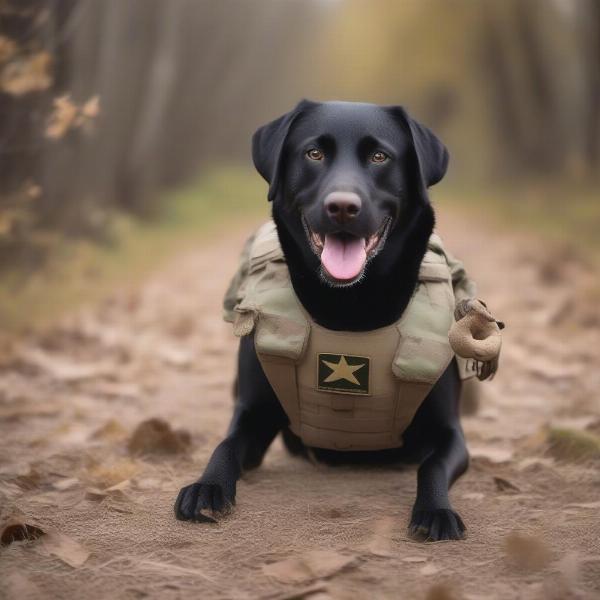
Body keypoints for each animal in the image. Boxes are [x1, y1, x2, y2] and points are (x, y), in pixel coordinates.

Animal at [176, 101, 472, 540]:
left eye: (379, 156)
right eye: (313, 153)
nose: (342, 207)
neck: (349, 307)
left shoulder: (451, 433)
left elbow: (432, 464)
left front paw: (435, 509)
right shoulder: (253, 415)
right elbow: (224, 444)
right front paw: (206, 487)